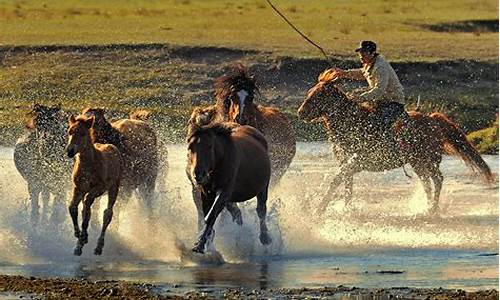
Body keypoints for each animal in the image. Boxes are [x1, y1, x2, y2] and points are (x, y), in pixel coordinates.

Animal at [66, 115, 121, 255]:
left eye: (82, 133)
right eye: (69, 132)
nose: (70, 151)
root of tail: (113, 147)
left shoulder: (99, 188)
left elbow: (87, 207)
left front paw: (82, 237)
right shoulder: (78, 188)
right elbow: (73, 208)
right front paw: (79, 236)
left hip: (114, 188)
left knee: (107, 214)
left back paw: (98, 246)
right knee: (87, 209)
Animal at [187, 119, 272, 253]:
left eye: (209, 146)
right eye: (190, 146)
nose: (198, 175)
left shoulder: (224, 192)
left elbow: (211, 215)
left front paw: (200, 245)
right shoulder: (206, 194)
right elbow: (206, 215)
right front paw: (207, 241)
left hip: (263, 188)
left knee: (261, 210)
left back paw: (265, 238)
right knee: (237, 213)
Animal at [296, 69, 492, 216]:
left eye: (319, 94)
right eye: (309, 92)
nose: (300, 112)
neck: (353, 123)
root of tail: (433, 119)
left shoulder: (355, 162)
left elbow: (336, 181)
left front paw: (319, 209)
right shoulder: (346, 164)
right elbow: (347, 187)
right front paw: (345, 209)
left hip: (427, 160)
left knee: (437, 179)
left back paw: (432, 209)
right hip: (417, 163)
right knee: (427, 183)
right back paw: (427, 207)